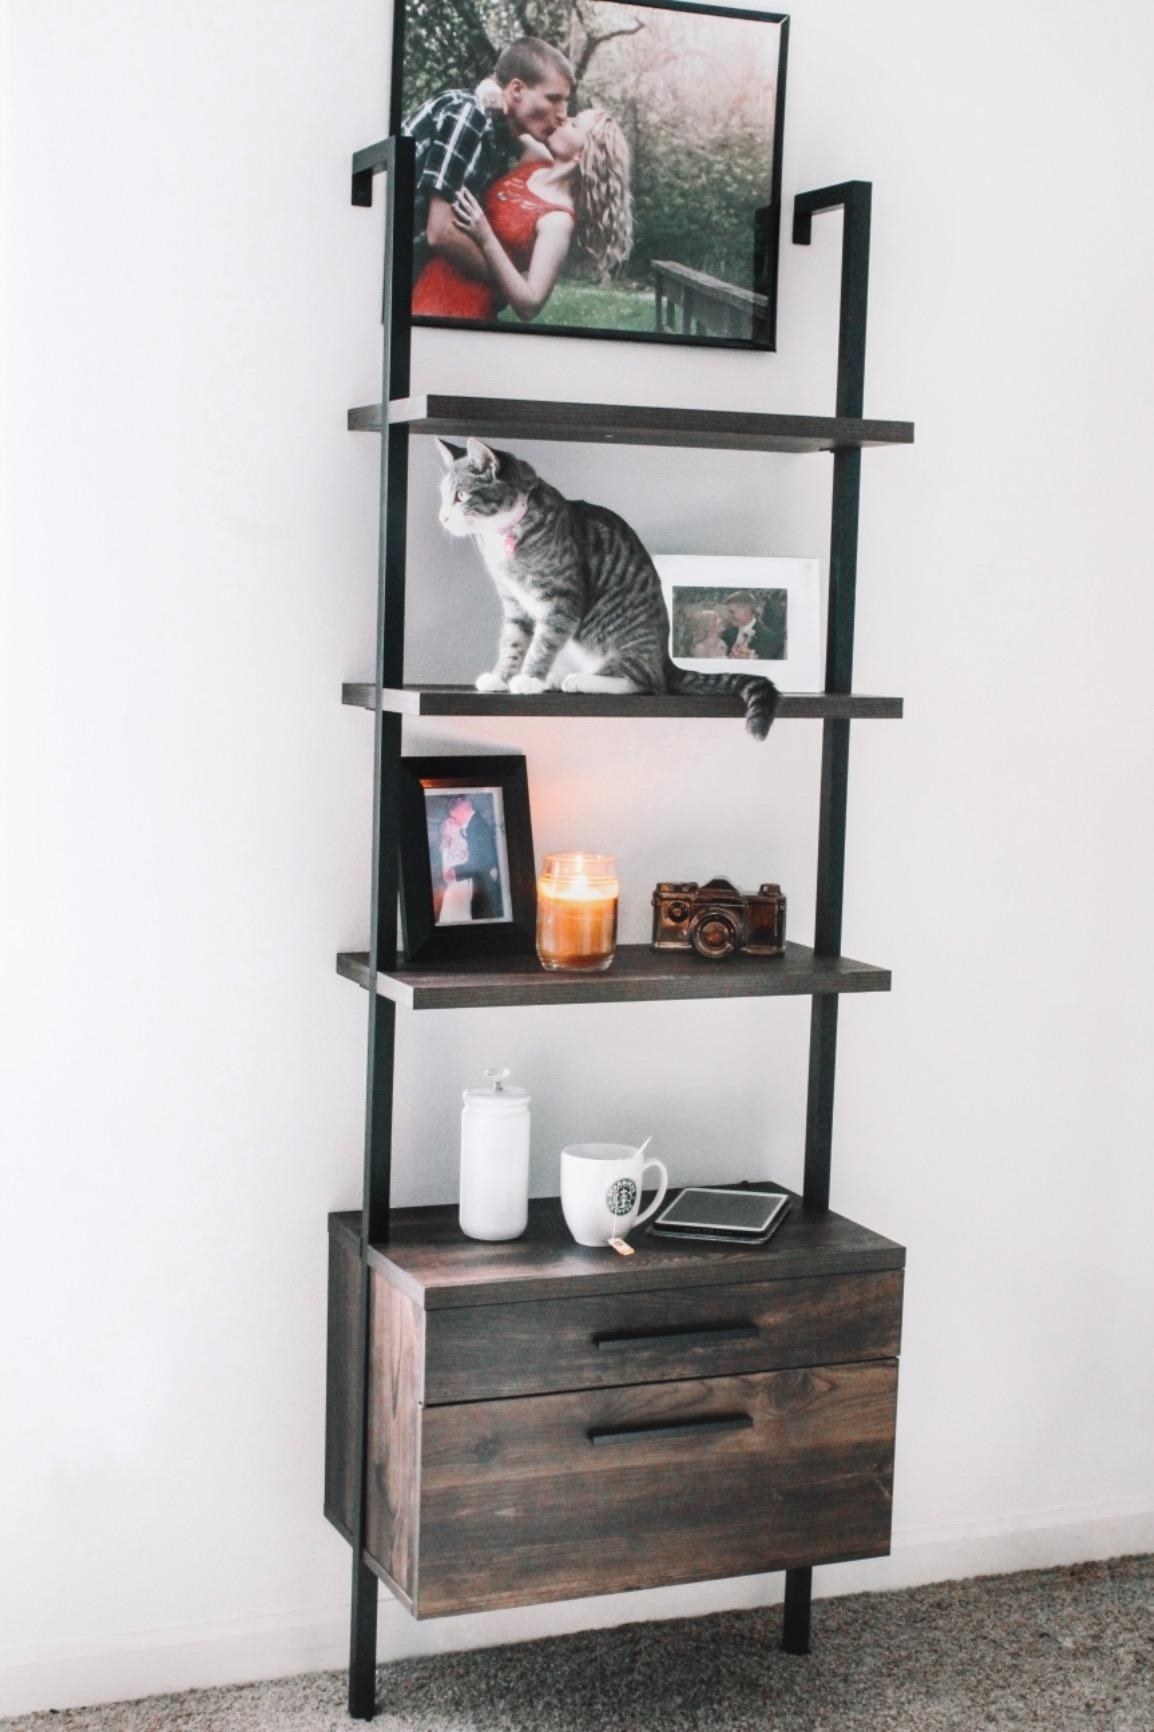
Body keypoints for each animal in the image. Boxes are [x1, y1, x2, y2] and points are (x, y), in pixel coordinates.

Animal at [436, 436, 776, 741]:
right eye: (443, 496)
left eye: (461, 496)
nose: (442, 518)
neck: (505, 536)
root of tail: (663, 659)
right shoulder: (515, 603)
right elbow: (513, 642)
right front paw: (502, 677)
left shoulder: (562, 600)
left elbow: (543, 643)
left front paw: (529, 679)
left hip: (618, 634)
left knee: (643, 682)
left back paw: (578, 679)